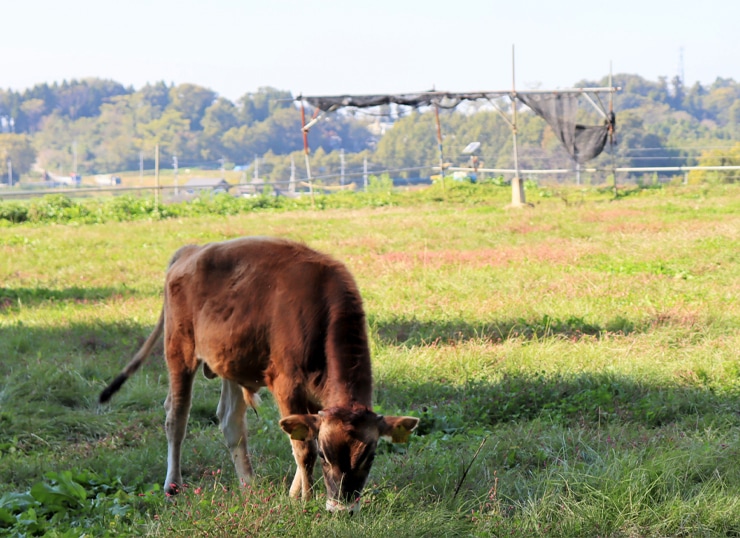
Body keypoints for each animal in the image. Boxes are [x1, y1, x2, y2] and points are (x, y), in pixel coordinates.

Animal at [100, 236, 420, 510]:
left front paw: (293, 493)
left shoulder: (316, 399)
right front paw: (306, 499)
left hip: (229, 363)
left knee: (230, 421)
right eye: (327, 456)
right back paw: (173, 485)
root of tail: (190, 251)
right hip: (179, 351)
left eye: (370, 456)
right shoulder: (287, 386)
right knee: (176, 417)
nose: (342, 509)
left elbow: (302, 437)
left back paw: (249, 486)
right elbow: (304, 448)